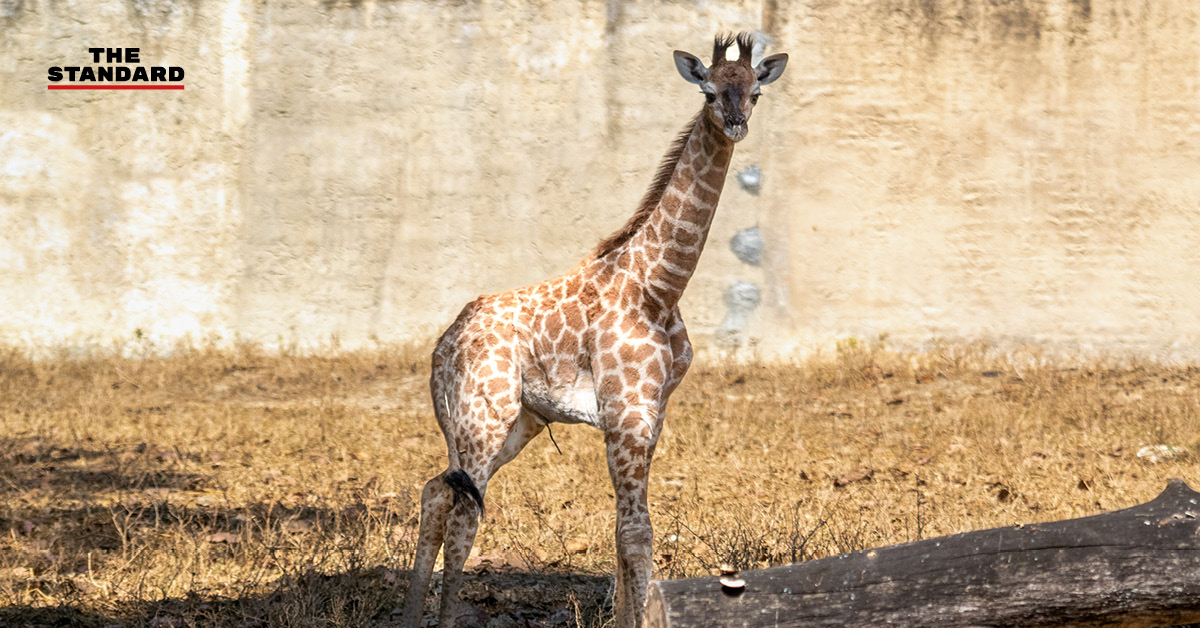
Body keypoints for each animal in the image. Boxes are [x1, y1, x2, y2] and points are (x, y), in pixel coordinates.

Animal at [403, 33, 787, 628]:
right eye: (707, 90)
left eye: (755, 93)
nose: (734, 122)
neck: (659, 286)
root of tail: (442, 346)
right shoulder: (626, 414)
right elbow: (636, 532)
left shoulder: (652, 412)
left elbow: (623, 533)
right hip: (483, 415)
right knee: (464, 510)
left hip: (512, 422)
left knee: (435, 492)